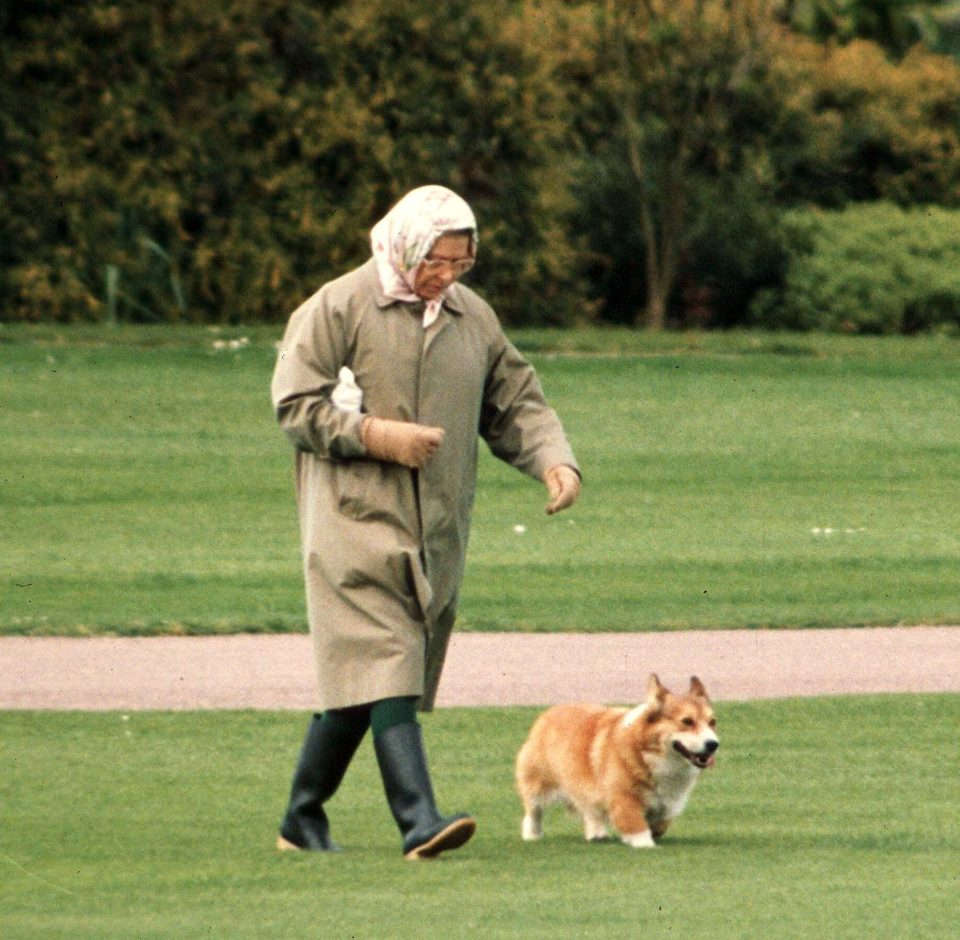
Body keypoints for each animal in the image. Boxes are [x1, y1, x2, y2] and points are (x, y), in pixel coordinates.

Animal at [512, 672, 716, 848]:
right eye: (687, 721)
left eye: (712, 722)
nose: (713, 744)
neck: (650, 754)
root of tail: (548, 713)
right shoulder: (623, 797)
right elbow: (636, 824)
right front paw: (645, 844)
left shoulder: (668, 802)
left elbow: (661, 821)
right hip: (539, 784)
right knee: (533, 811)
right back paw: (532, 835)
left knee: (590, 809)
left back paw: (596, 833)